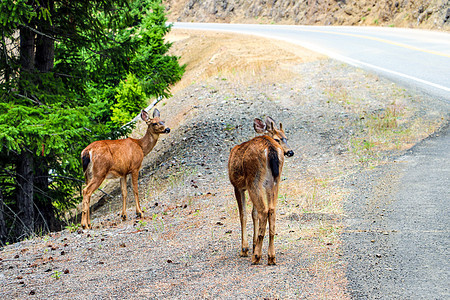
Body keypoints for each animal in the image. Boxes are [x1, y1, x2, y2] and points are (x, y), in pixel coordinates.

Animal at [229, 117, 296, 264]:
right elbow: (253, 214)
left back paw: (257, 256)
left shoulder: (237, 186)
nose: (290, 152)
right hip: (273, 181)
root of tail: (269, 148)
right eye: (279, 139)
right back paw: (271, 256)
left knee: (263, 211)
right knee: (271, 210)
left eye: (286, 138)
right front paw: (253, 245)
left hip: (254, 180)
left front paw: (245, 248)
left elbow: (243, 215)